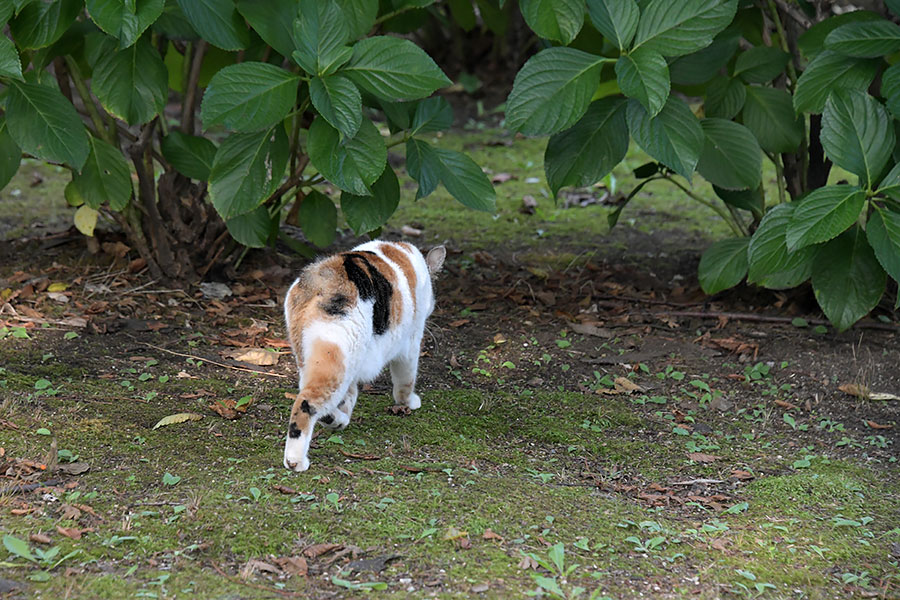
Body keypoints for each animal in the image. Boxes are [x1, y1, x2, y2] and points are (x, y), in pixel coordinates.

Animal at [284, 241, 444, 472]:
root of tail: (319, 277)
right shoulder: (411, 342)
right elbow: (405, 379)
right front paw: (408, 401)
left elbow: (350, 395)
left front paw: (342, 416)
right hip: (336, 358)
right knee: (306, 402)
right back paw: (295, 460)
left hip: (316, 358)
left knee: (317, 397)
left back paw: (335, 420)